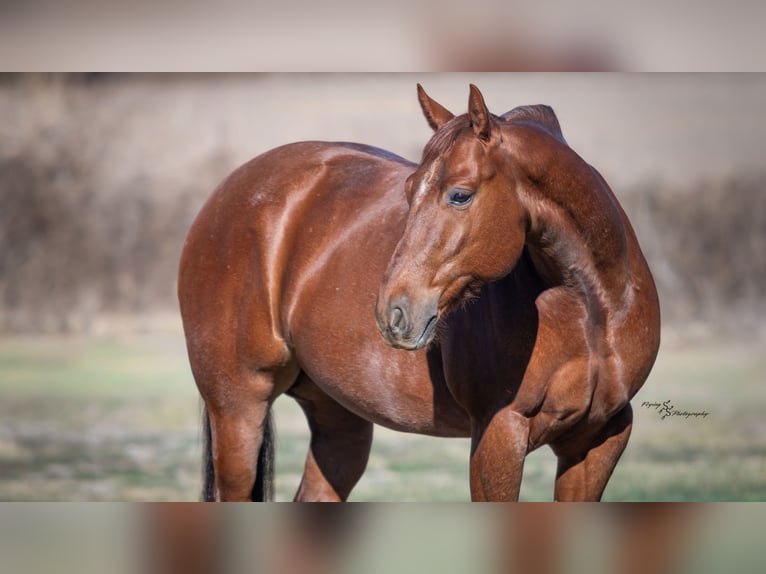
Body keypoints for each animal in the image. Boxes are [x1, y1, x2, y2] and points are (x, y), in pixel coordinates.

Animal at [178, 84, 660, 501]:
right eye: (409, 191)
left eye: (460, 195)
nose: (392, 313)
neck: (590, 310)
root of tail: (229, 192)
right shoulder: (498, 435)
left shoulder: (601, 437)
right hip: (239, 409)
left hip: (338, 419)